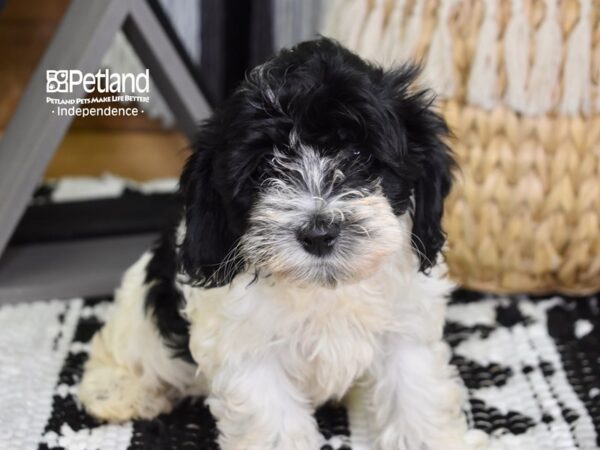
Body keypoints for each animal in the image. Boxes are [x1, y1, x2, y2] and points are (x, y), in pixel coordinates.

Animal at [79, 37, 486, 450]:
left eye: (358, 155)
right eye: (265, 168)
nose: (319, 233)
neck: (324, 289)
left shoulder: (405, 329)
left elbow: (414, 395)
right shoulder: (248, 352)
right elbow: (272, 420)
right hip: (140, 322)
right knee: (123, 347)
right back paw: (119, 391)